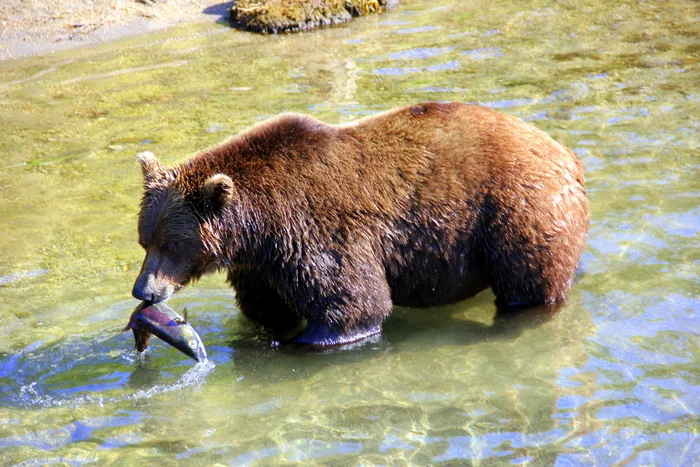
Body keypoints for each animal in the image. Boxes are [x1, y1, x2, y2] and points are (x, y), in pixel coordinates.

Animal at [133, 104, 592, 350]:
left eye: (171, 244)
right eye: (144, 240)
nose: (143, 291)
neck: (257, 226)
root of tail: (568, 156)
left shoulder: (315, 231)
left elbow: (353, 305)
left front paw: (296, 343)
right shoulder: (262, 263)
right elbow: (266, 307)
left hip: (516, 211)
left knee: (528, 283)